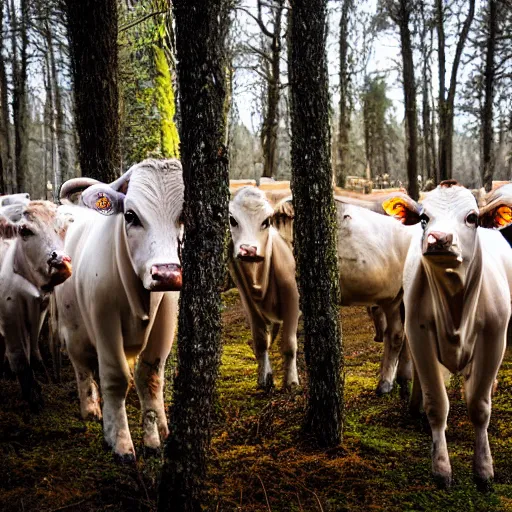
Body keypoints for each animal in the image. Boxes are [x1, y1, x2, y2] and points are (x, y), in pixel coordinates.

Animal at [0, 202, 72, 410]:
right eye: (25, 230)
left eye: (63, 228)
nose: (60, 261)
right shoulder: (9, 311)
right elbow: (19, 356)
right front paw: (33, 396)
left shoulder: (41, 307)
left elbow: (32, 344)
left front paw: (42, 372)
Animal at [55, 158, 184, 462]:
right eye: (131, 215)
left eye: (184, 216)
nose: (166, 274)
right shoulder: (104, 318)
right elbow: (115, 377)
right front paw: (120, 442)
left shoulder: (165, 320)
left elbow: (150, 377)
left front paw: (153, 439)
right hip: (73, 328)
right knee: (82, 365)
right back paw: (91, 409)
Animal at [229, 186, 300, 390]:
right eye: (232, 219)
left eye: (266, 221)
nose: (248, 250)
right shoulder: (247, 300)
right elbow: (261, 340)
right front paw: (264, 378)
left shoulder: (293, 299)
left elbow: (289, 344)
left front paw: (291, 381)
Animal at [386, 181, 512, 488]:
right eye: (424, 218)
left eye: (472, 218)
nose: (438, 238)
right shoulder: (419, 334)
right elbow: (437, 404)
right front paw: (441, 468)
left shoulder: (494, 336)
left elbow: (479, 406)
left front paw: (484, 469)